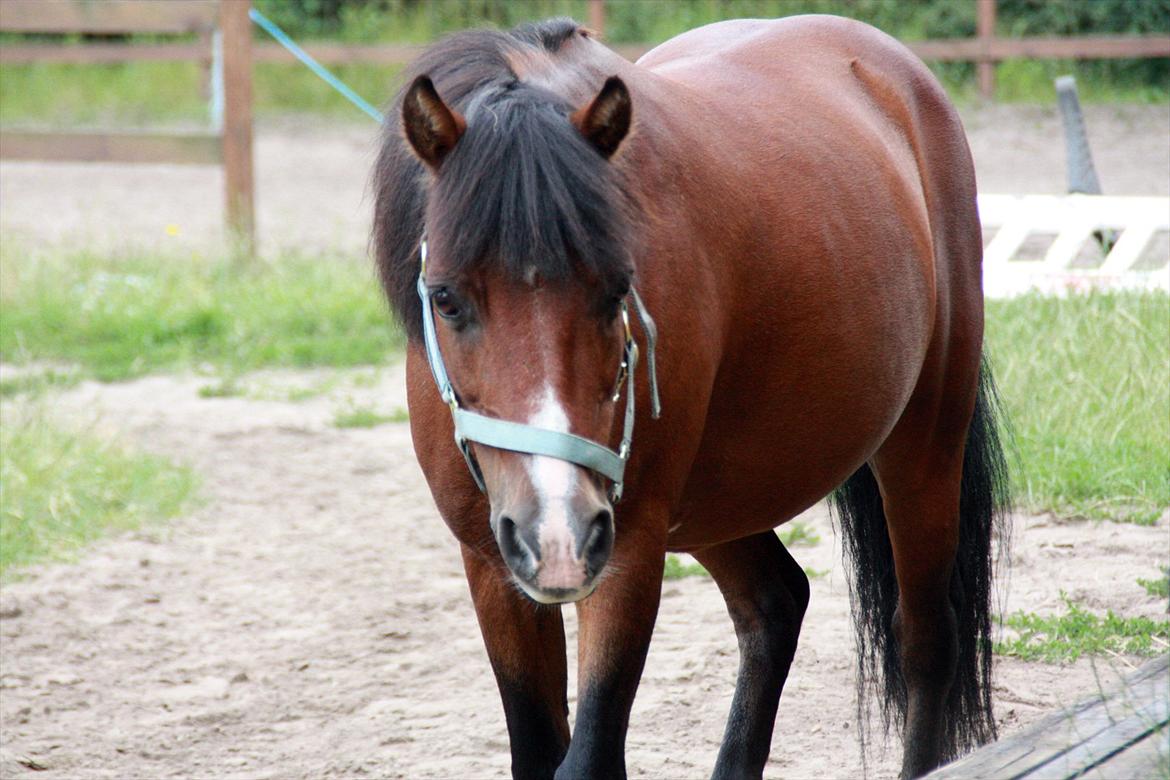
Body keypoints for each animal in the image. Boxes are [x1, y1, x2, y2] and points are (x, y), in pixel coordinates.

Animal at [372, 13, 1006, 780]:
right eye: (445, 298)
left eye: (618, 288)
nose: (558, 530)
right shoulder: (493, 566)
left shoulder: (629, 552)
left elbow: (588, 757)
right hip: (715, 506)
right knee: (774, 605)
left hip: (923, 444)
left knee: (925, 639)